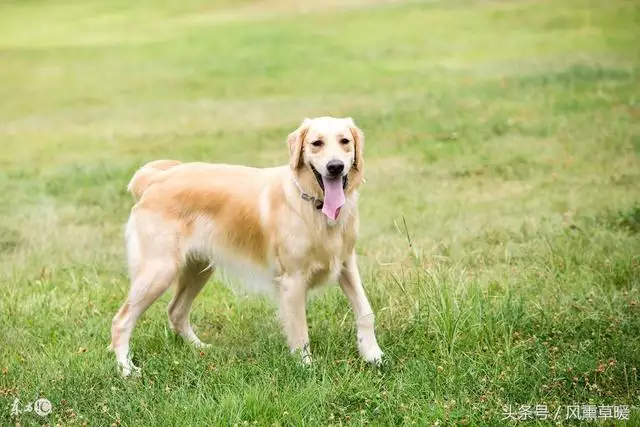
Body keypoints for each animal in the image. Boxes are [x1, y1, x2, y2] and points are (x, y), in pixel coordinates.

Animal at [110, 115, 382, 376]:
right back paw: (126, 369)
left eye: (345, 141)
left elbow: (365, 311)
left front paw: (373, 355)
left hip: (197, 269)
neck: (314, 206)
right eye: (317, 143)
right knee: (121, 321)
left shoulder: (346, 263)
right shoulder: (293, 280)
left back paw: (200, 349)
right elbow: (300, 331)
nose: (335, 167)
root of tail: (155, 179)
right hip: (159, 271)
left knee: (175, 311)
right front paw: (306, 369)